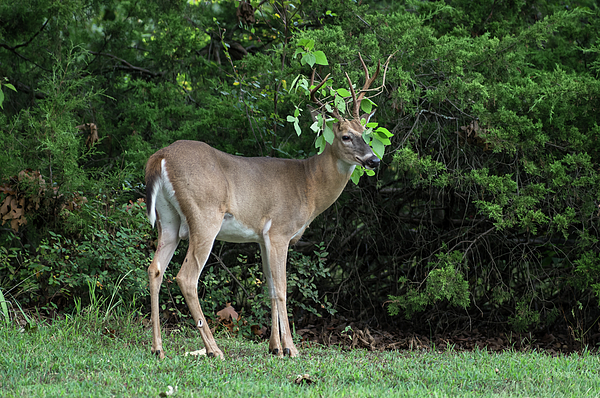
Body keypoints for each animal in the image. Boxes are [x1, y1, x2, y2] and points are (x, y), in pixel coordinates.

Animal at [145, 54, 380, 360]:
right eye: (346, 136)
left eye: (366, 133)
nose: (373, 159)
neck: (308, 185)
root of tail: (160, 157)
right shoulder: (280, 231)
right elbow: (282, 289)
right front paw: (291, 348)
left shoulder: (261, 237)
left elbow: (268, 288)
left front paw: (275, 347)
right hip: (205, 215)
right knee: (186, 277)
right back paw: (214, 350)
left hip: (169, 220)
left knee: (155, 269)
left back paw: (158, 348)